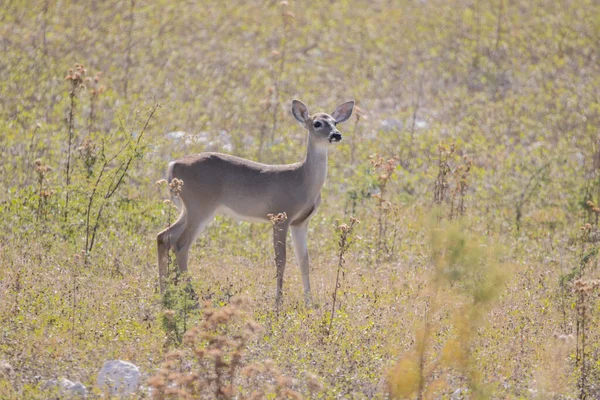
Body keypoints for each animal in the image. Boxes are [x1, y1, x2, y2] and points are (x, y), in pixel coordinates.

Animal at [157, 100, 356, 306]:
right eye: (317, 123)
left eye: (335, 122)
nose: (336, 135)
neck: (302, 179)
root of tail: (173, 165)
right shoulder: (280, 215)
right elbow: (281, 260)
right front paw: (278, 302)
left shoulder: (301, 222)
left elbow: (304, 260)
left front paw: (309, 302)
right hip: (200, 206)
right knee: (180, 244)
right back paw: (191, 297)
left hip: (188, 209)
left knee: (163, 237)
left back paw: (166, 293)